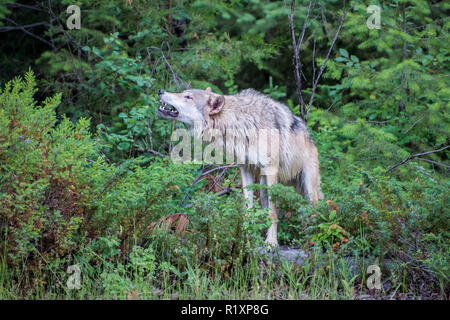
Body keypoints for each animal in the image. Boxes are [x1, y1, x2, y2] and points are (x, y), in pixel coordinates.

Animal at [158, 87, 324, 248]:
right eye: (183, 93)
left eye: (188, 97)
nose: (161, 91)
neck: (240, 124)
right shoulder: (245, 169)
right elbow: (247, 209)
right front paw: (245, 237)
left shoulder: (270, 169)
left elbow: (273, 213)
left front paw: (271, 243)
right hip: (264, 186)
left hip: (307, 188)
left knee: (313, 212)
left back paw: (312, 241)